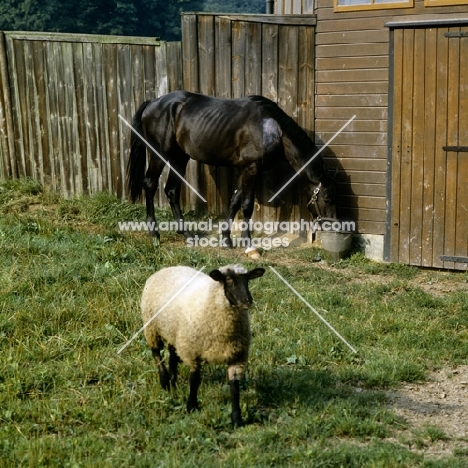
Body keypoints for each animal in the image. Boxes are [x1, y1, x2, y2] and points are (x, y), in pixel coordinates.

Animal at [126, 89, 334, 247]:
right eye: (327, 199)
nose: (332, 227)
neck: (272, 129)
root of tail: (153, 102)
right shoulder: (251, 169)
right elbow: (247, 205)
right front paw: (247, 242)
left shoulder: (248, 170)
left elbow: (235, 201)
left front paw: (226, 239)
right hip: (158, 155)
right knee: (150, 185)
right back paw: (154, 233)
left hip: (179, 158)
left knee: (171, 190)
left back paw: (186, 235)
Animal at [141, 266, 266, 426]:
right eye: (229, 280)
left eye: (248, 279)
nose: (247, 301)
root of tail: (167, 268)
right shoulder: (192, 352)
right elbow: (194, 380)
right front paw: (191, 406)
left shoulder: (237, 355)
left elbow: (234, 388)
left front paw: (236, 419)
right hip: (151, 326)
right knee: (156, 352)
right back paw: (165, 382)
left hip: (174, 332)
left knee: (173, 354)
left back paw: (173, 382)